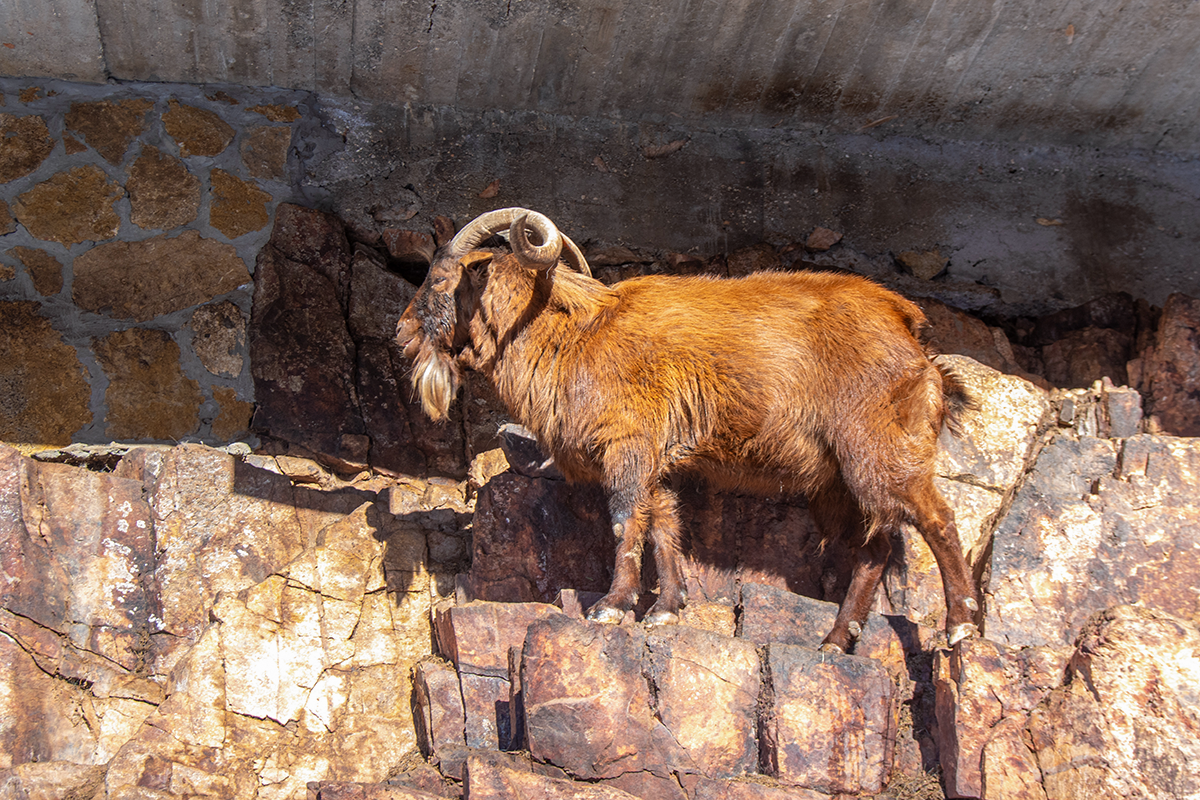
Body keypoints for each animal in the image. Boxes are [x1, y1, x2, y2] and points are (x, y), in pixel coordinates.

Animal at [398, 208, 979, 657]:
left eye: (440, 281)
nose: (401, 334)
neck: (571, 334)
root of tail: (911, 334)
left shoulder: (628, 446)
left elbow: (624, 522)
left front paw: (612, 606)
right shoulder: (656, 461)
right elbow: (662, 525)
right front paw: (667, 608)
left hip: (876, 450)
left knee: (937, 520)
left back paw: (961, 626)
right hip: (838, 480)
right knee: (874, 547)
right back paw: (837, 639)